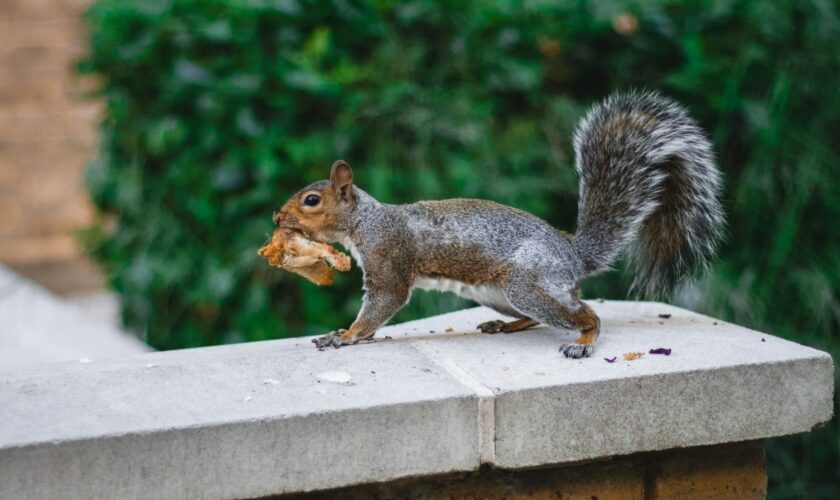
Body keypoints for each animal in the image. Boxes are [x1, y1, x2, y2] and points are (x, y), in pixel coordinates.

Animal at [272, 92, 724, 358]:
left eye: (312, 201)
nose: (277, 218)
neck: (368, 221)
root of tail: (572, 253)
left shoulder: (389, 258)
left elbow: (383, 302)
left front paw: (346, 335)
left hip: (528, 282)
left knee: (586, 314)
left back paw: (583, 340)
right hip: (499, 292)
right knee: (541, 315)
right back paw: (506, 324)